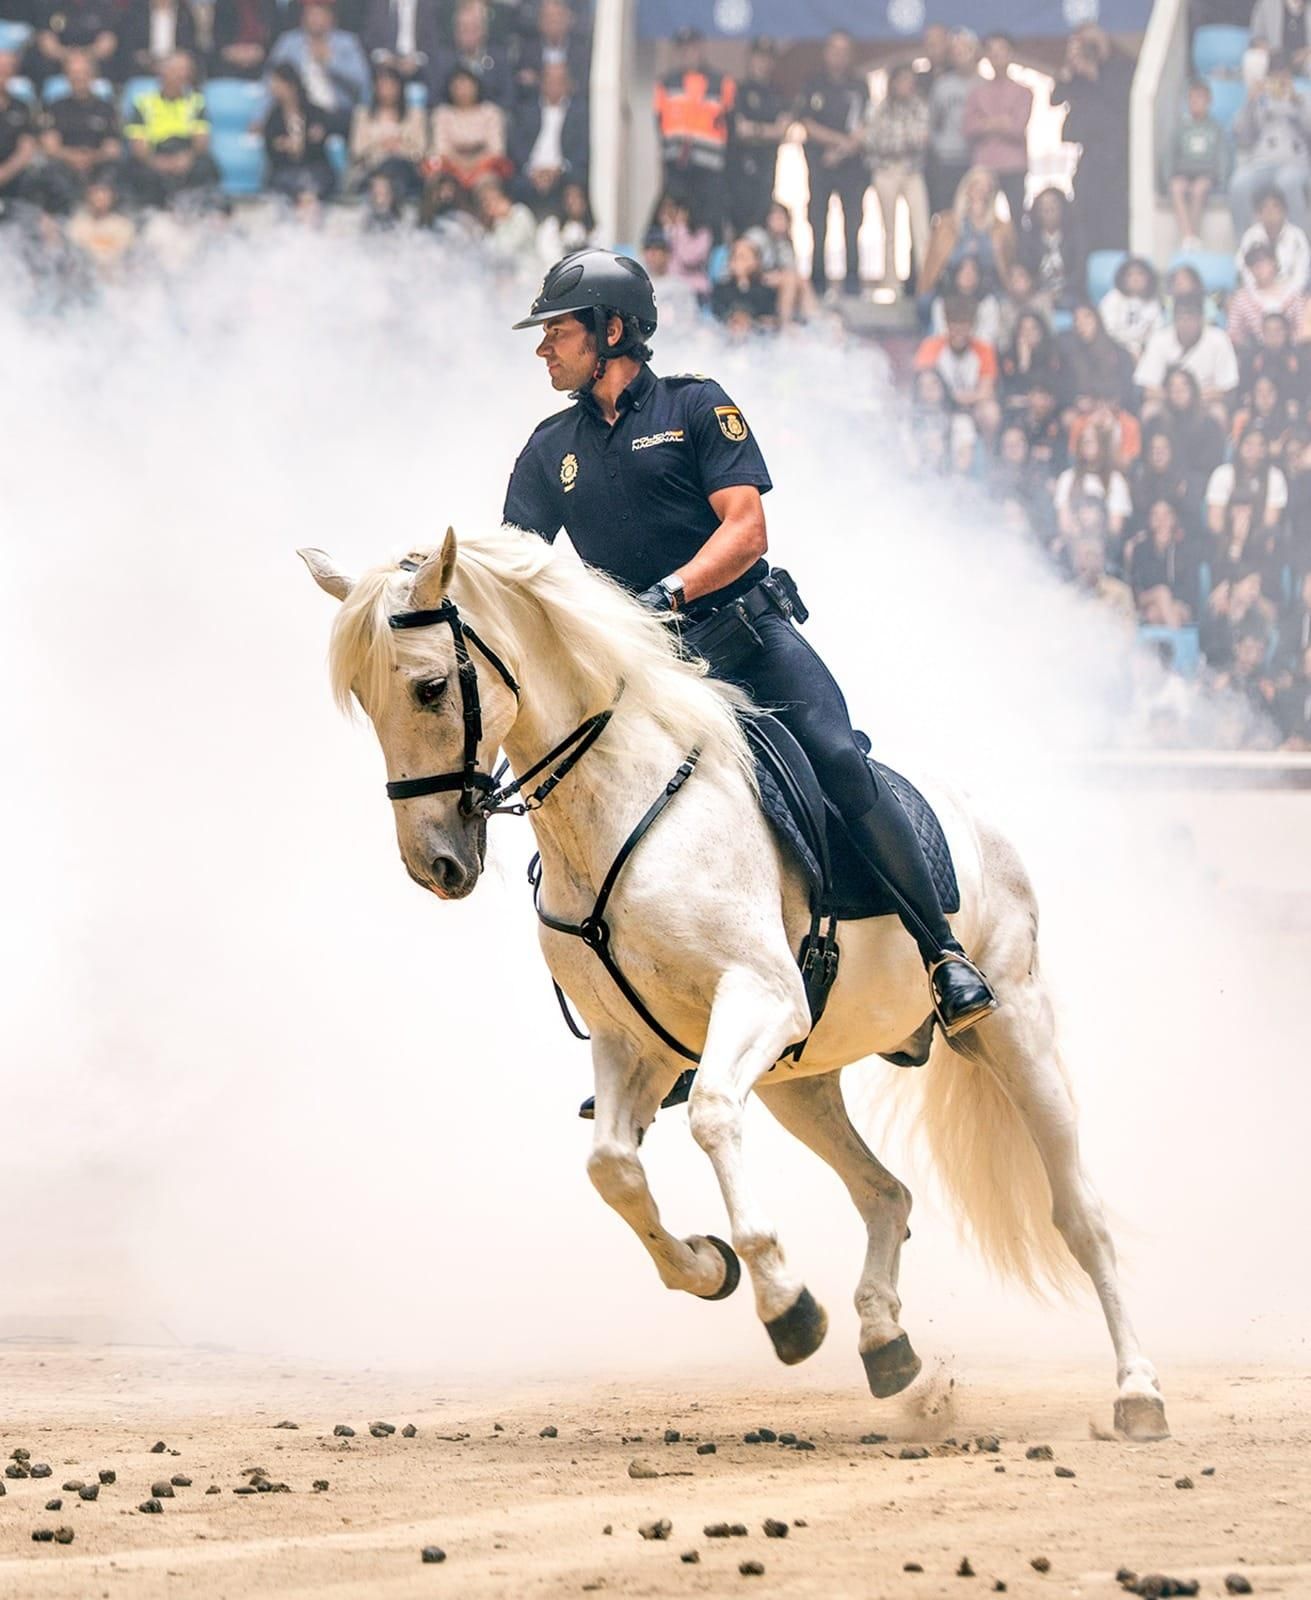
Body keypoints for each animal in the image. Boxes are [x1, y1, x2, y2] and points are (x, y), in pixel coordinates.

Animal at [298, 525, 1170, 1442]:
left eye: (431, 687)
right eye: (362, 697)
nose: (434, 862)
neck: (620, 809)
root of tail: (975, 817)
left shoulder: (755, 999)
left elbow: (712, 1119)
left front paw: (786, 1305)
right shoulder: (630, 1043)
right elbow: (611, 1167)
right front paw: (707, 1267)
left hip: (1011, 1029)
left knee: (1079, 1217)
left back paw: (1136, 1392)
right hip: (800, 1078)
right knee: (884, 1194)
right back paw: (886, 1346)